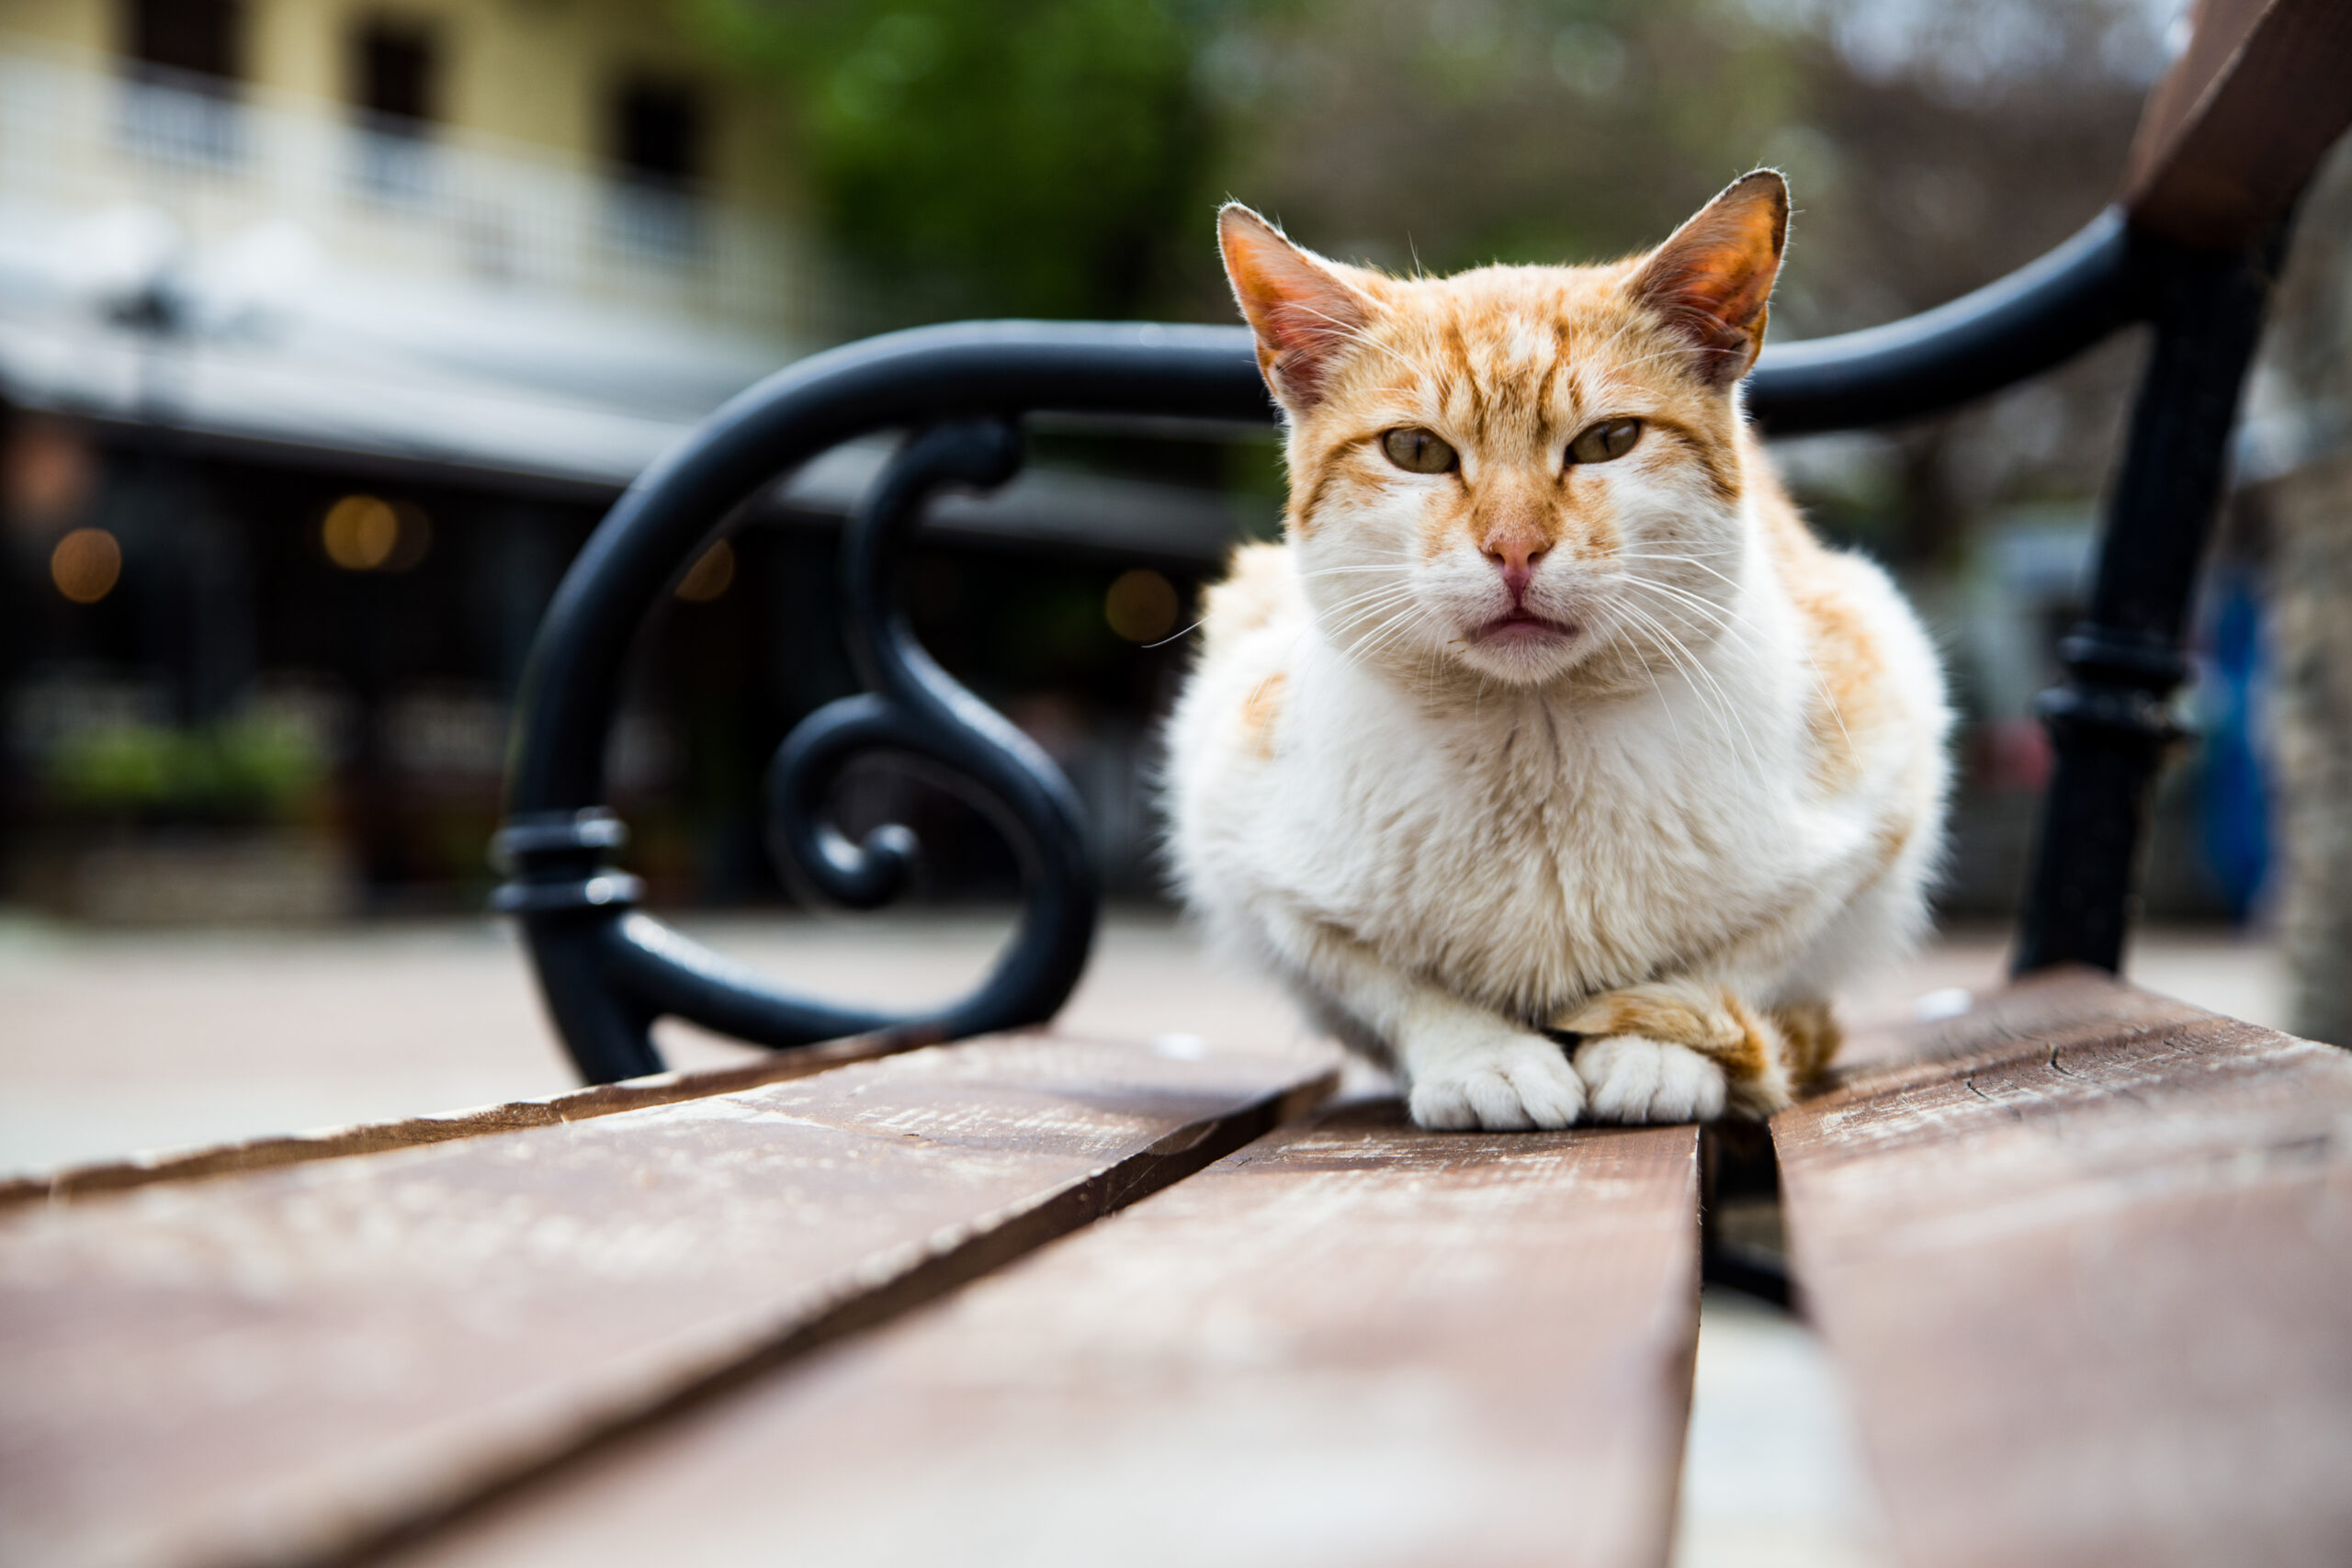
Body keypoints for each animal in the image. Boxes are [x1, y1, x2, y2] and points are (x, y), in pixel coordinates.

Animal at [1157, 171, 1947, 1128]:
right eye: (1414, 450)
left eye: (1609, 440)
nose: (1514, 549)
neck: (1536, 739)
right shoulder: (1238, 838)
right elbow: (1386, 980)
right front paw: (1484, 1059)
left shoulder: (1879, 780)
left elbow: (1740, 957)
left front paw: (1656, 1050)